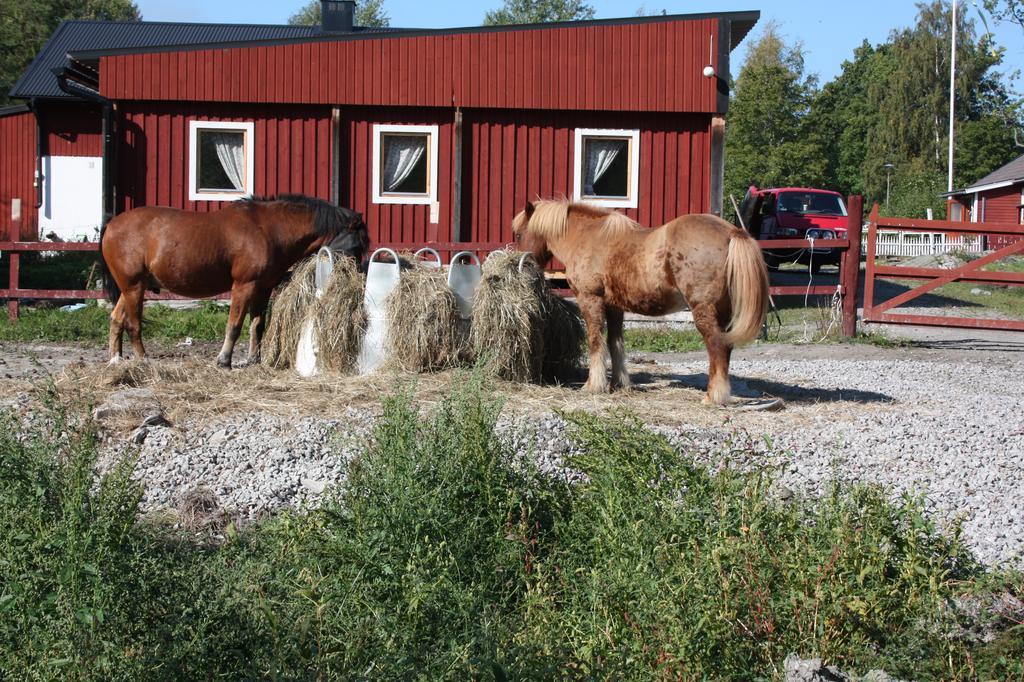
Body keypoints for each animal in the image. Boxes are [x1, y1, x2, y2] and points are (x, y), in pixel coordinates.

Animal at [99, 193, 370, 366]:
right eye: (356, 246)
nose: (357, 278)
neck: (269, 229)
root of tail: (112, 224)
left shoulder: (263, 288)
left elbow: (257, 325)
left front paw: (254, 359)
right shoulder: (243, 286)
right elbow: (234, 325)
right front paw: (224, 360)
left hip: (131, 287)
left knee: (116, 319)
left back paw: (115, 360)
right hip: (134, 287)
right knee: (133, 324)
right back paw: (142, 359)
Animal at [512, 201, 770, 403]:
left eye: (518, 234)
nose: (520, 264)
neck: (589, 237)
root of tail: (731, 232)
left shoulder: (590, 299)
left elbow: (595, 342)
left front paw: (593, 385)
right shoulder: (614, 307)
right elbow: (615, 343)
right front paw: (618, 383)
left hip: (704, 311)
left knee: (716, 347)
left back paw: (713, 396)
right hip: (723, 313)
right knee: (725, 349)